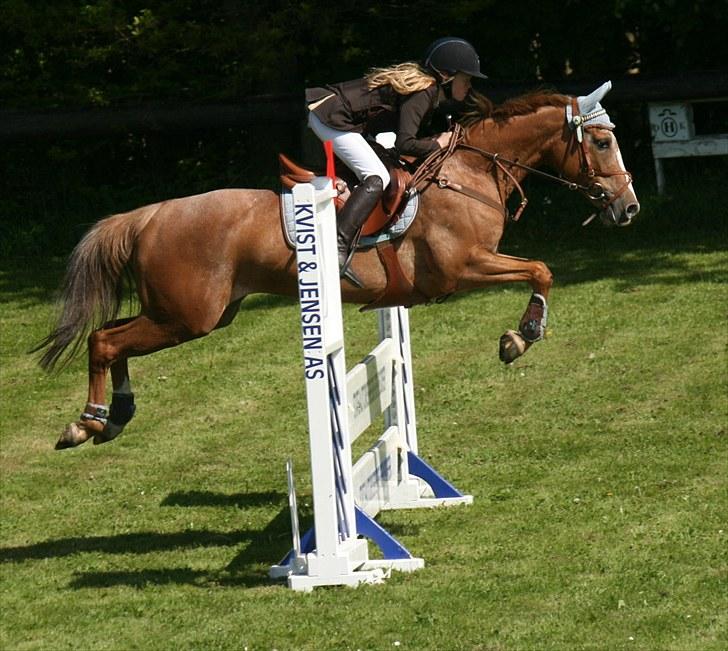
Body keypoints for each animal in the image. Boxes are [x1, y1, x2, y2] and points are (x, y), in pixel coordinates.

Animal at [35, 81, 639, 450]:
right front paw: (521, 338)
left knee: (112, 336)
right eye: (601, 142)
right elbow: (540, 269)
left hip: (193, 313)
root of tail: (150, 215)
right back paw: (86, 423)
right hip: (187, 316)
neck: (468, 172)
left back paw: (116, 415)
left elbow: (541, 269)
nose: (628, 208)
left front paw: (521, 336)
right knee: (104, 341)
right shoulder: (464, 268)